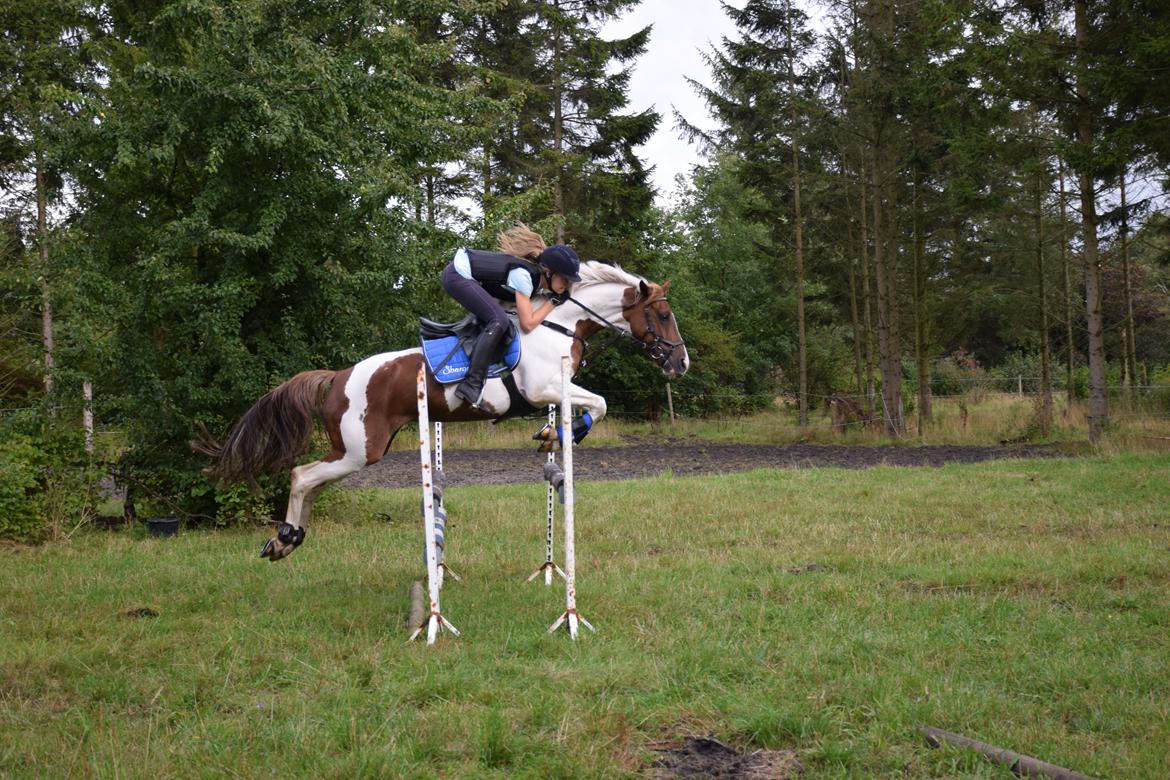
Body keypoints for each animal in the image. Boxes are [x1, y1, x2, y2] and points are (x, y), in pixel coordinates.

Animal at [196, 261, 687, 561]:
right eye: (662, 315)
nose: (681, 364)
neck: (556, 324)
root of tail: (337, 376)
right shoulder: (543, 387)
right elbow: (599, 402)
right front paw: (561, 434)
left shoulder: (554, 390)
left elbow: (594, 405)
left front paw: (555, 435)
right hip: (360, 450)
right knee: (302, 475)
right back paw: (284, 538)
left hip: (355, 451)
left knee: (312, 481)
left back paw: (288, 540)